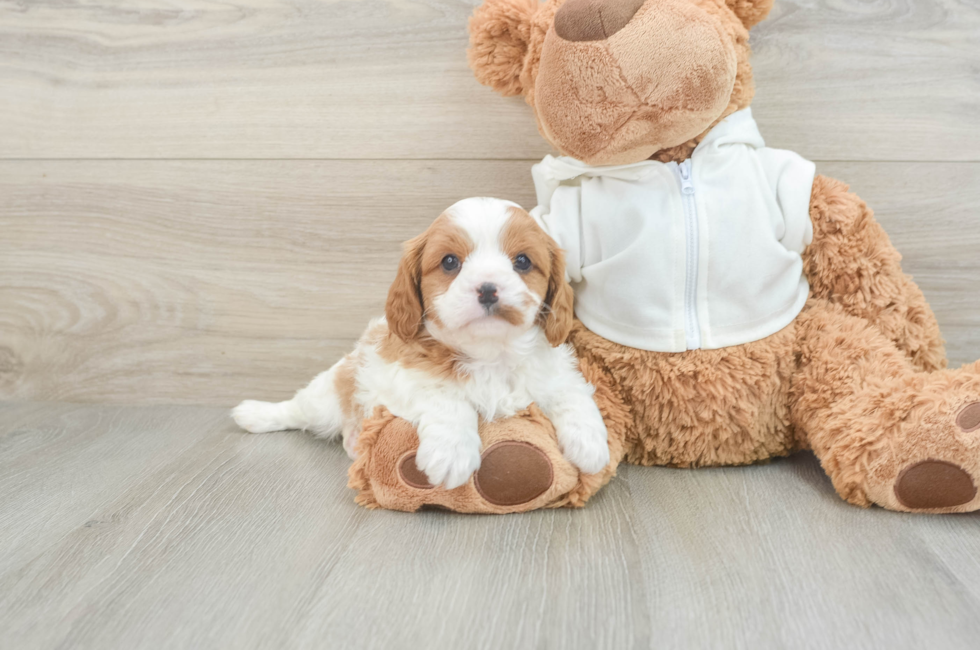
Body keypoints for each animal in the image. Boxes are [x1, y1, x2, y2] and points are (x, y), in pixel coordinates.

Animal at [233, 197, 608, 486]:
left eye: (523, 261)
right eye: (450, 262)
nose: (488, 288)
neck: (489, 354)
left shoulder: (554, 372)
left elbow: (572, 394)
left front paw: (591, 443)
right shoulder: (400, 377)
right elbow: (446, 397)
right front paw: (452, 451)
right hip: (328, 394)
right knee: (296, 409)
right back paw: (254, 413)